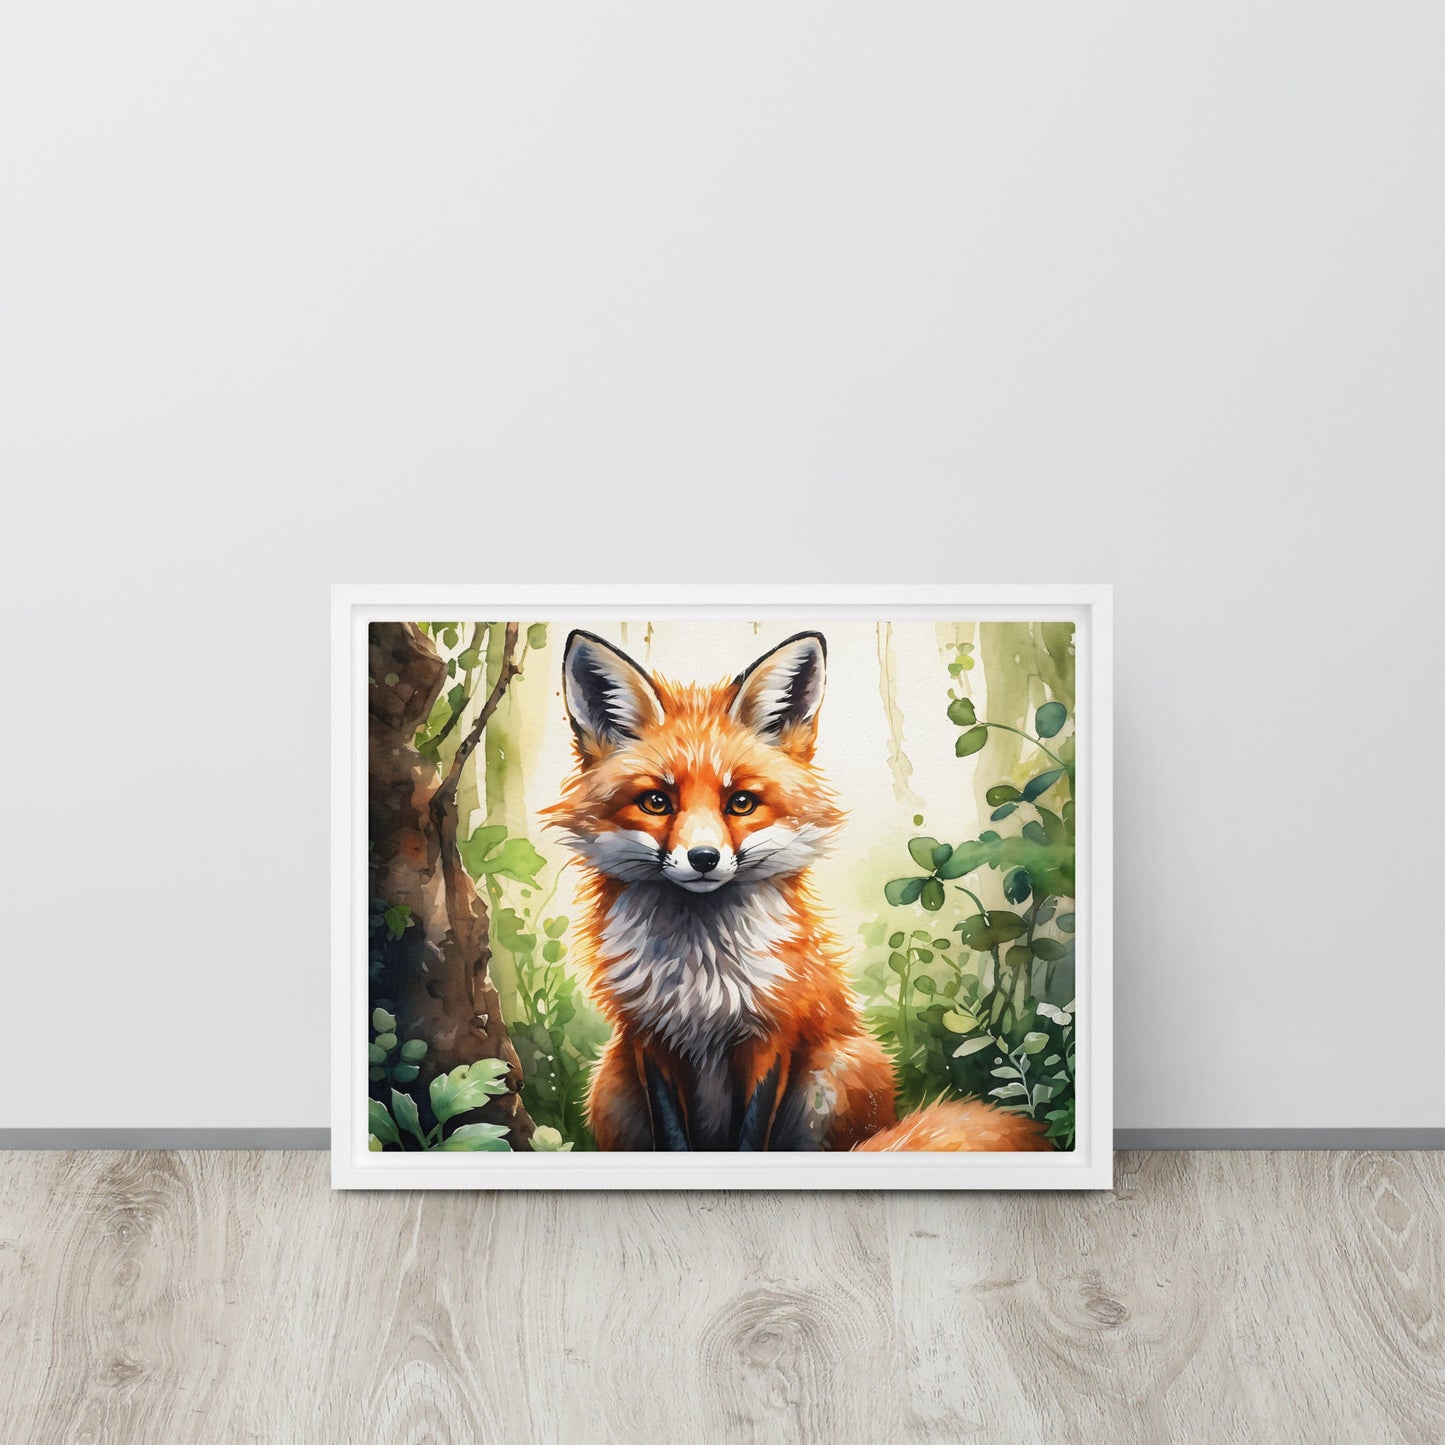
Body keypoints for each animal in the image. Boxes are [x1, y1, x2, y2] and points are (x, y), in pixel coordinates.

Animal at [543, 628, 1050, 1154]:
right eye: (657, 802)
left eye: (741, 802)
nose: (703, 858)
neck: (701, 978)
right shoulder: (649, 1039)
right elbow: (672, 1136)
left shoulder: (773, 1036)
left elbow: (751, 1137)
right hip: (610, 1081)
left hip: (836, 1073)